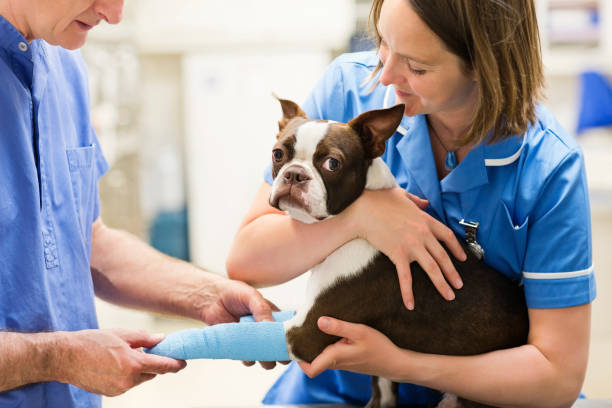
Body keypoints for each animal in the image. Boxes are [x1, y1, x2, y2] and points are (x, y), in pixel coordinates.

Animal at [270, 96, 528, 408]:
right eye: (278, 154)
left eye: (332, 163)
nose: (295, 175)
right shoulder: (382, 379)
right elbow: (382, 394)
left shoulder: (306, 333)